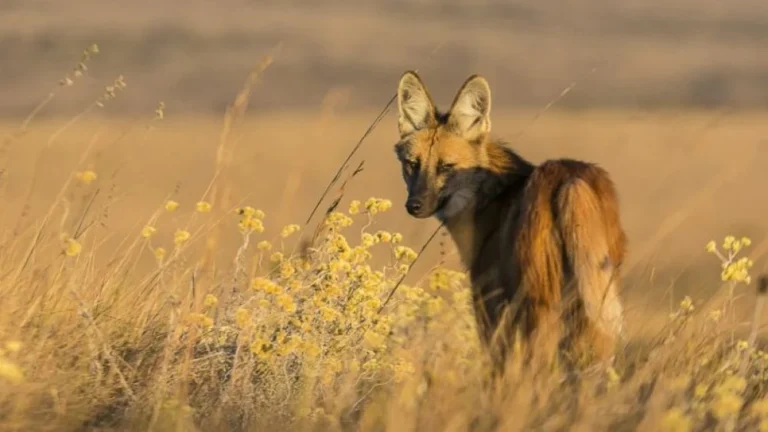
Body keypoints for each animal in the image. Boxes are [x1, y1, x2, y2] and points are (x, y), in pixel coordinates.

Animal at [392, 71, 628, 372]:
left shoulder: (490, 311)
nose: (414, 205)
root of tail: (570, 180)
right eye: (412, 164)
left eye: (446, 167)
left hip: (539, 314)